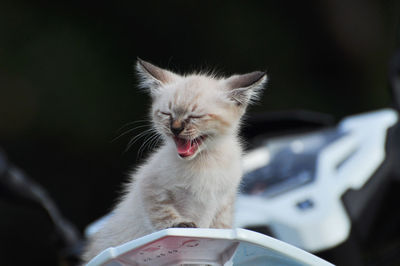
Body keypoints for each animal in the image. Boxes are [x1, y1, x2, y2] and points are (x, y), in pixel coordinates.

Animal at [82, 58, 268, 262]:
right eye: (167, 114)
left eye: (195, 116)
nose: (175, 128)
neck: (205, 161)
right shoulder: (150, 187)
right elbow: (163, 214)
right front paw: (181, 225)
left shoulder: (224, 200)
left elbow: (220, 228)